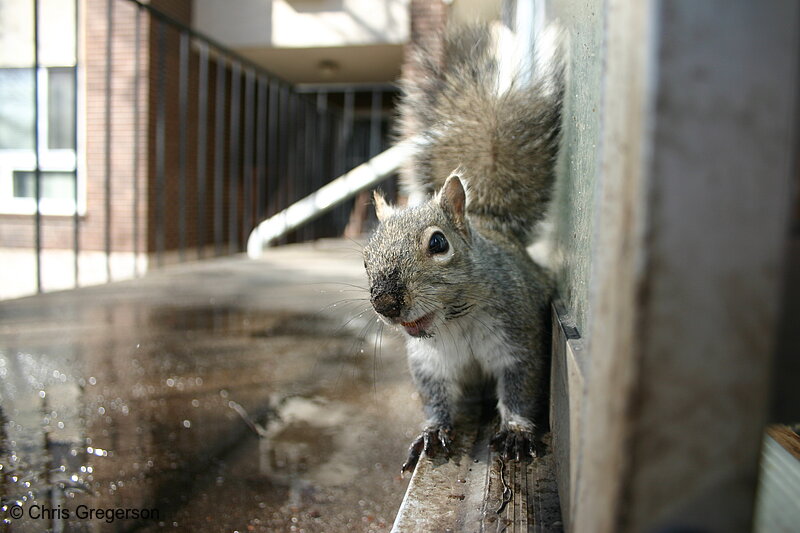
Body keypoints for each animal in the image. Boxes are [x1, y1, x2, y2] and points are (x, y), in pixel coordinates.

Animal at [362, 22, 564, 472]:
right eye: (365, 259)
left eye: (438, 243)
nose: (386, 302)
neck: (455, 322)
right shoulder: (429, 363)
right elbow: (436, 398)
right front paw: (432, 431)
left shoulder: (520, 340)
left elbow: (521, 388)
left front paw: (517, 431)